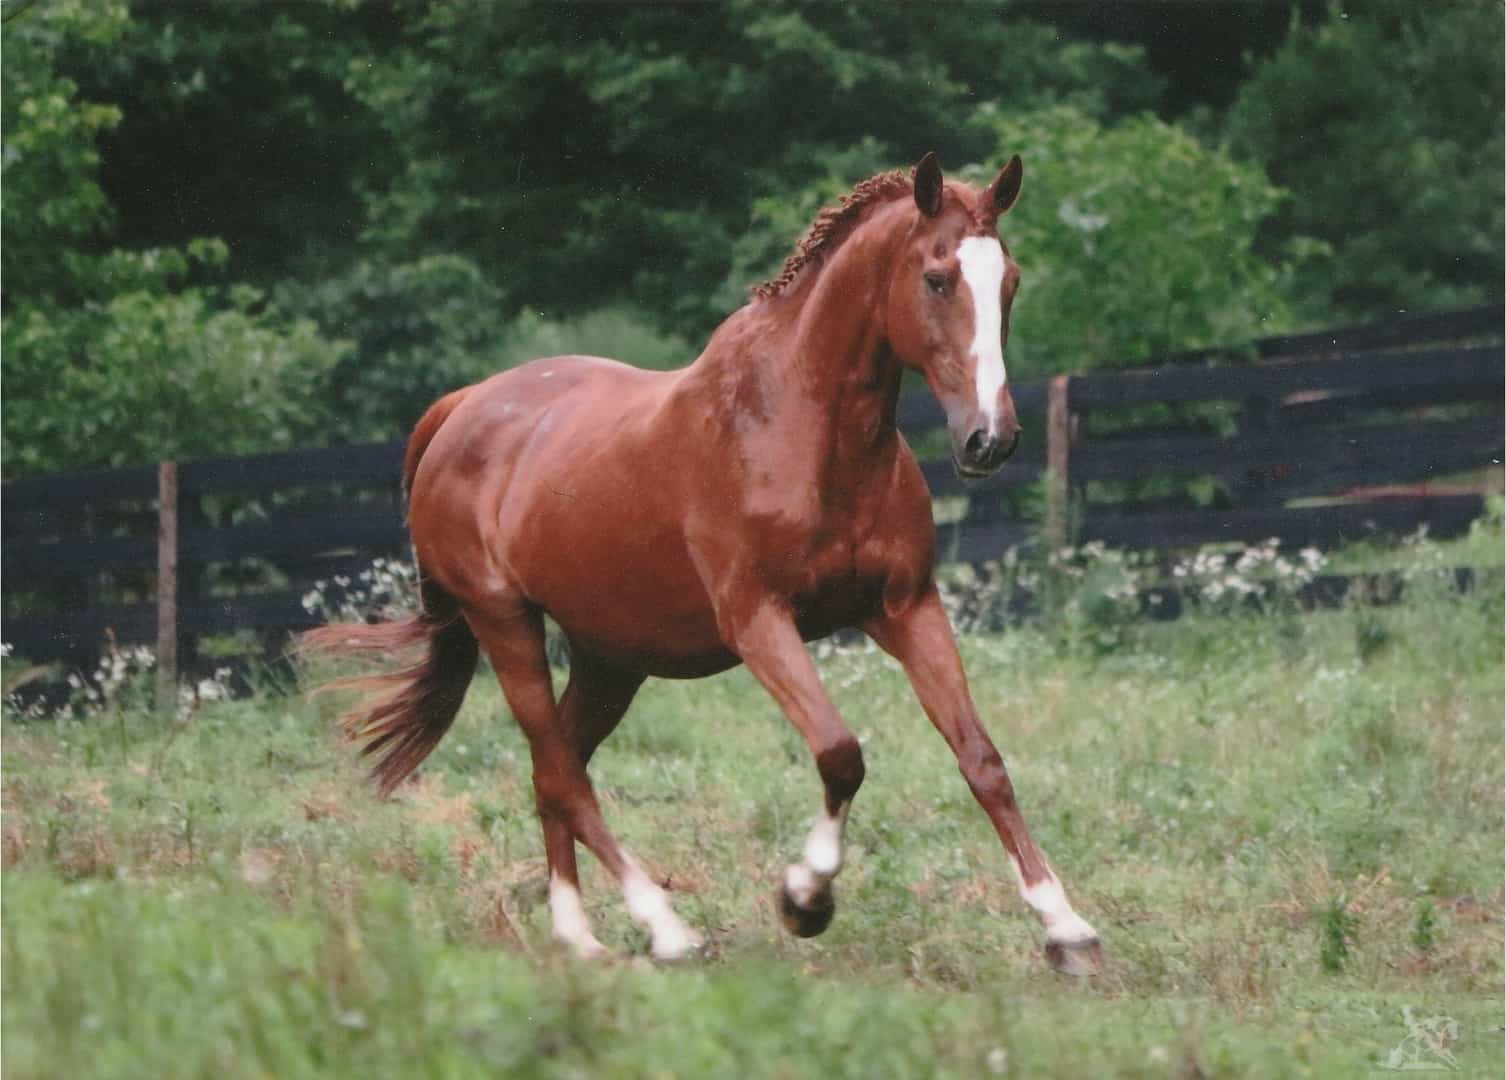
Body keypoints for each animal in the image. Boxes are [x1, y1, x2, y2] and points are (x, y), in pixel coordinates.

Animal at [308, 153, 1108, 976]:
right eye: (938, 277)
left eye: (1009, 279)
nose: (991, 440)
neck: (801, 429)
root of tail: (461, 408)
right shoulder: (757, 621)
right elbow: (840, 753)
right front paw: (804, 899)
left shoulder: (907, 608)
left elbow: (982, 760)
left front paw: (1067, 928)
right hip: (506, 625)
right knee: (562, 772)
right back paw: (663, 928)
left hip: (609, 658)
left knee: (555, 770)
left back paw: (577, 935)